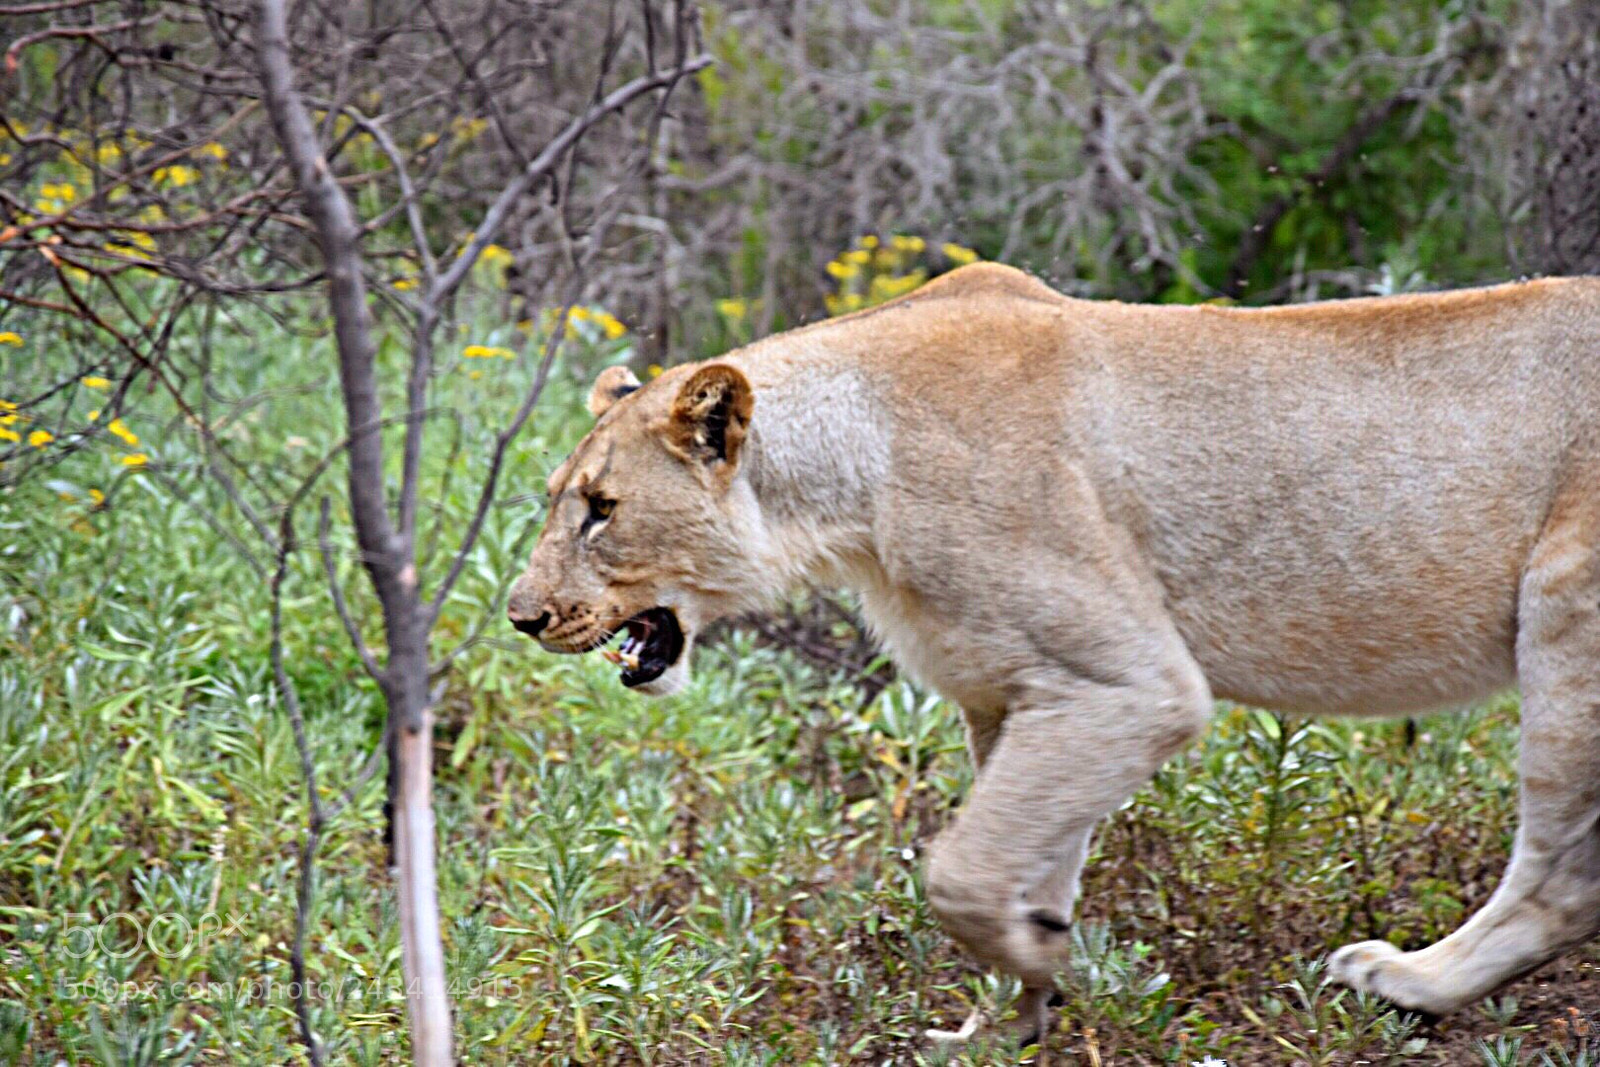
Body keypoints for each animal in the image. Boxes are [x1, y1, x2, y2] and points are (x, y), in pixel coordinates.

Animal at [508, 262, 1600, 1044]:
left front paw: (1052, 971)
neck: (849, 487)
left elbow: (962, 869)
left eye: (601, 508)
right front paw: (1006, 1023)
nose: (521, 615)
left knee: (1561, 876)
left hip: (1564, 615)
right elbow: (1026, 861)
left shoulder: (1131, 683)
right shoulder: (1023, 694)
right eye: (563, 496)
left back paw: (1407, 980)